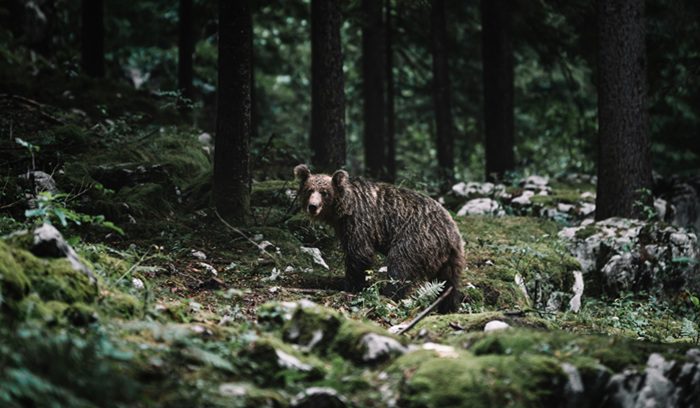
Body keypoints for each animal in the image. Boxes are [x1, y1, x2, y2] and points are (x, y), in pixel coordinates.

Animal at [294, 164, 465, 313]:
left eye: (324, 192)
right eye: (309, 190)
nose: (313, 206)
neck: (343, 210)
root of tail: (451, 232)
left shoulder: (359, 223)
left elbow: (359, 254)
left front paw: (351, 285)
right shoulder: (343, 227)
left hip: (416, 238)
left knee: (400, 265)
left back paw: (389, 294)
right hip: (451, 257)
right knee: (449, 281)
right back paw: (448, 306)